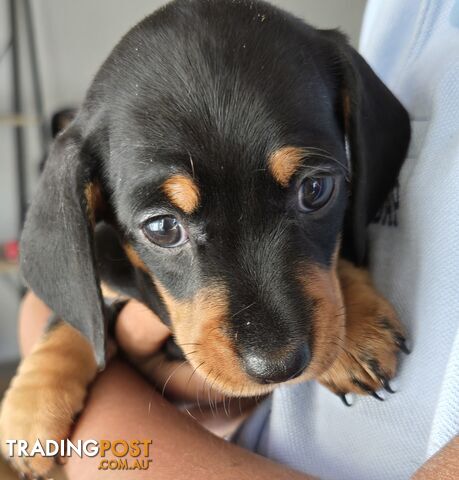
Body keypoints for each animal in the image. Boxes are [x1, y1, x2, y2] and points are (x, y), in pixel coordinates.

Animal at [0, 0, 410, 476]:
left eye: (315, 189)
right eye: (162, 228)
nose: (278, 367)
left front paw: (357, 331)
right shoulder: (102, 266)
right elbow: (77, 314)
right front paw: (30, 409)